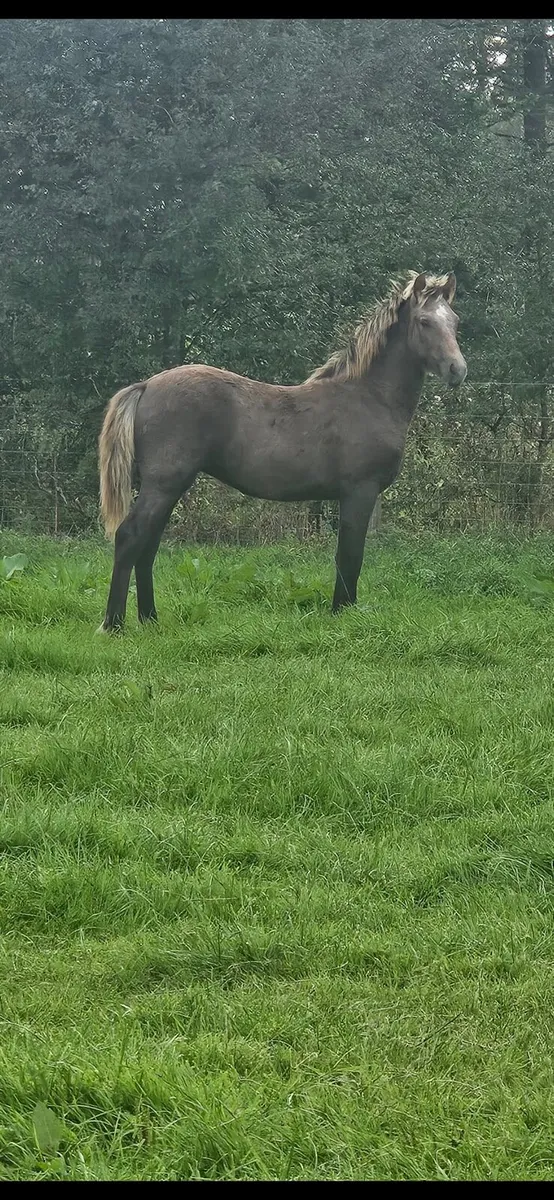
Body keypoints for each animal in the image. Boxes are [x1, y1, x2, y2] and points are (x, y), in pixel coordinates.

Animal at [97, 270, 467, 631]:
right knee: (130, 536)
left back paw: (150, 620)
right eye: (424, 322)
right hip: (164, 484)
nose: (458, 370)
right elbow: (350, 556)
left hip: (169, 487)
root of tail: (147, 385)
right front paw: (342, 614)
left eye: (454, 320)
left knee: (148, 545)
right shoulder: (360, 491)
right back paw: (113, 624)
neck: (369, 397)